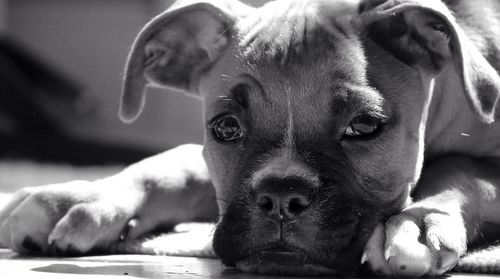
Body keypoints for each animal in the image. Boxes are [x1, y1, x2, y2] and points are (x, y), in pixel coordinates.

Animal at [0, 0, 500, 276]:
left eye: (364, 126)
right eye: (225, 127)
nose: (281, 198)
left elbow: (463, 170)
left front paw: (418, 222)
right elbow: (175, 162)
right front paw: (76, 198)